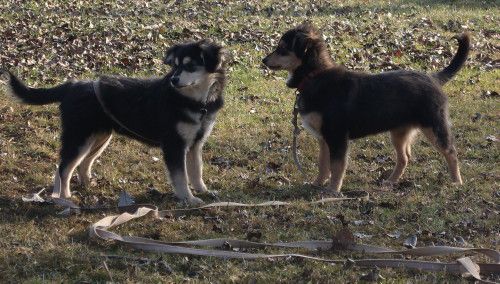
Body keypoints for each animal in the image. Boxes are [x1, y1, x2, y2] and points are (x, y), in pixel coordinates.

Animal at [2, 40, 226, 204]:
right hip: (79, 137)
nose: (174, 80)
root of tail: (71, 86)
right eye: (175, 66)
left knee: (83, 163)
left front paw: (203, 190)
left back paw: (87, 184)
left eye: (189, 65)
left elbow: (197, 170)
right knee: (63, 167)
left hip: (100, 136)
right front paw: (189, 199)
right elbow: (181, 177)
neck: (196, 102)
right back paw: (65, 197)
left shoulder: (195, 144)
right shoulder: (174, 145)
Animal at [262, 23, 468, 194]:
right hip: (399, 132)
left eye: (282, 48)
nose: (263, 60)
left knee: (451, 152)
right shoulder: (324, 139)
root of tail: (433, 78)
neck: (314, 76)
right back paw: (390, 182)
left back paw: (456, 182)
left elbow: (337, 166)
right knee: (404, 157)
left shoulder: (337, 136)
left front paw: (333, 191)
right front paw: (317, 184)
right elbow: (323, 164)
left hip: (434, 126)